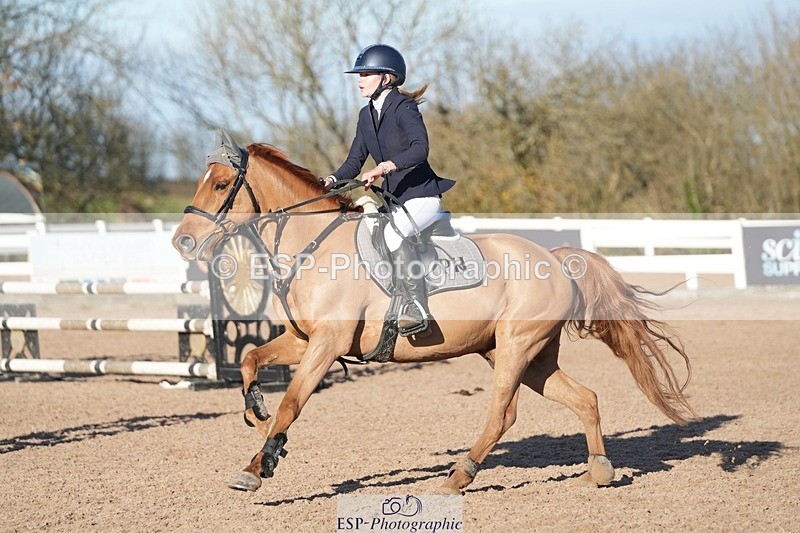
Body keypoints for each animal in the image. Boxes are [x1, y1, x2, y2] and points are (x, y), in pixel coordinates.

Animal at [173, 136, 695, 494]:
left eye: (221, 184)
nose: (182, 242)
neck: (315, 244)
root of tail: (556, 257)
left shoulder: (326, 344)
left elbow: (293, 402)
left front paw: (258, 465)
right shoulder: (303, 339)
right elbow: (250, 361)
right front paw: (260, 423)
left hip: (516, 347)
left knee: (502, 413)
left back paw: (459, 475)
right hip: (524, 354)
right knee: (584, 398)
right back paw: (599, 469)